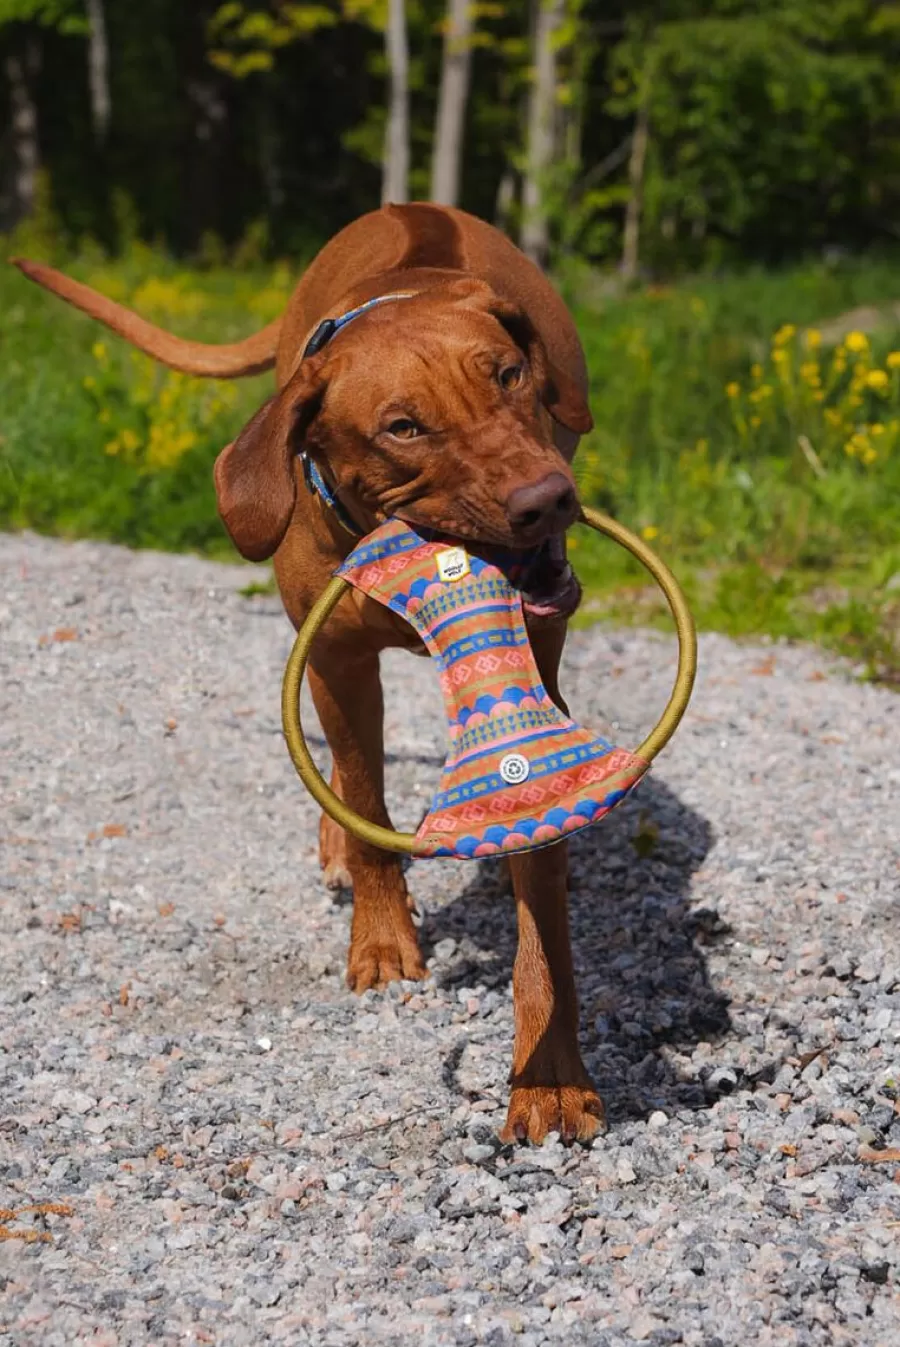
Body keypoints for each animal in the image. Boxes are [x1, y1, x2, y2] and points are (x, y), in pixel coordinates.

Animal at [12, 202, 603, 1147]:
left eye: (510, 376)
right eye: (403, 427)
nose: (547, 500)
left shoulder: (533, 671)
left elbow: (538, 890)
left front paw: (549, 1072)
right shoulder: (334, 660)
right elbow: (364, 800)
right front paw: (382, 938)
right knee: (345, 773)